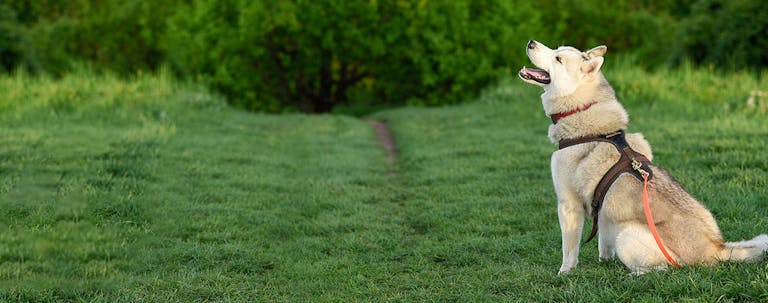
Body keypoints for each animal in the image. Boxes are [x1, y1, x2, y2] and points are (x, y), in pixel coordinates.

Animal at [516, 39, 768, 276]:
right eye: (556, 49)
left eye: (558, 59)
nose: (530, 42)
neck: (582, 110)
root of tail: (717, 248)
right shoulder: (604, 213)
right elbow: (603, 243)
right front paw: (604, 262)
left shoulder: (568, 206)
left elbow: (568, 250)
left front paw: (565, 272)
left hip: (627, 236)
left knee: (665, 269)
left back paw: (633, 274)